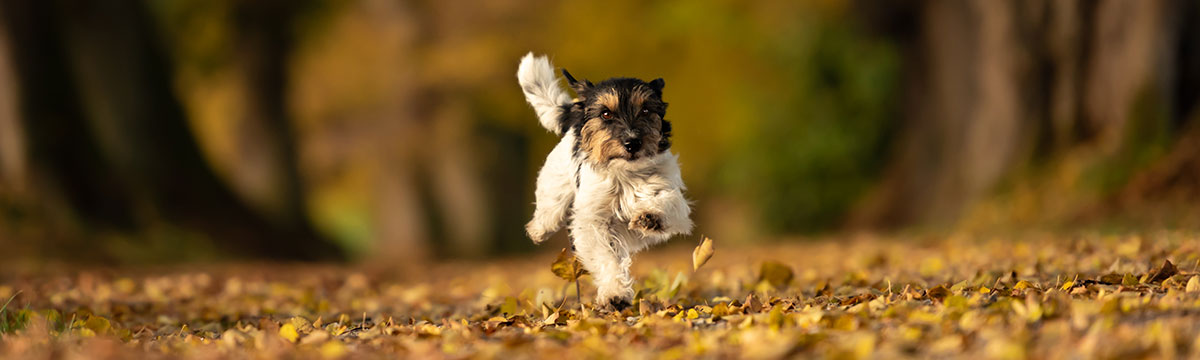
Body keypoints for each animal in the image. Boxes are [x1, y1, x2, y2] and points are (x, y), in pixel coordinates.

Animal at [516, 52, 696, 309]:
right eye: (606, 114)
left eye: (645, 110)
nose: (632, 143)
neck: (625, 173)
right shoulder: (593, 221)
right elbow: (606, 257)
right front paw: (615, 293)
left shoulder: (669, 192)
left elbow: (666, 202)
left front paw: (651, 216)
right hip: (555, 186)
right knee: (549, 212)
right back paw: (538, 230)